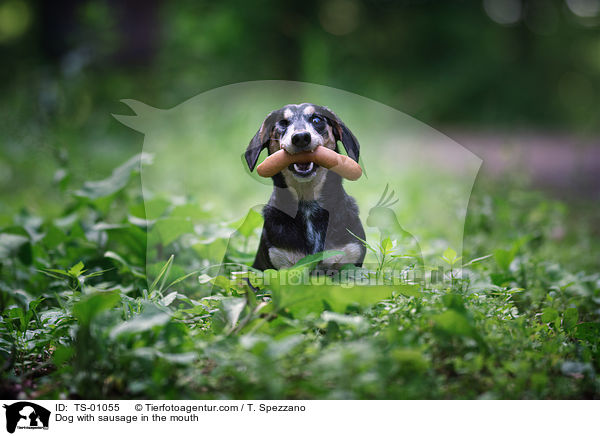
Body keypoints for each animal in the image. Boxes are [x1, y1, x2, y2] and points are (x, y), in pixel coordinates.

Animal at [244, 103, 366, 270]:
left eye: (316, 119)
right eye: (282, 123)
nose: (301, 137)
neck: (308, 203)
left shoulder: (351, 258)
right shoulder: (279, 260)